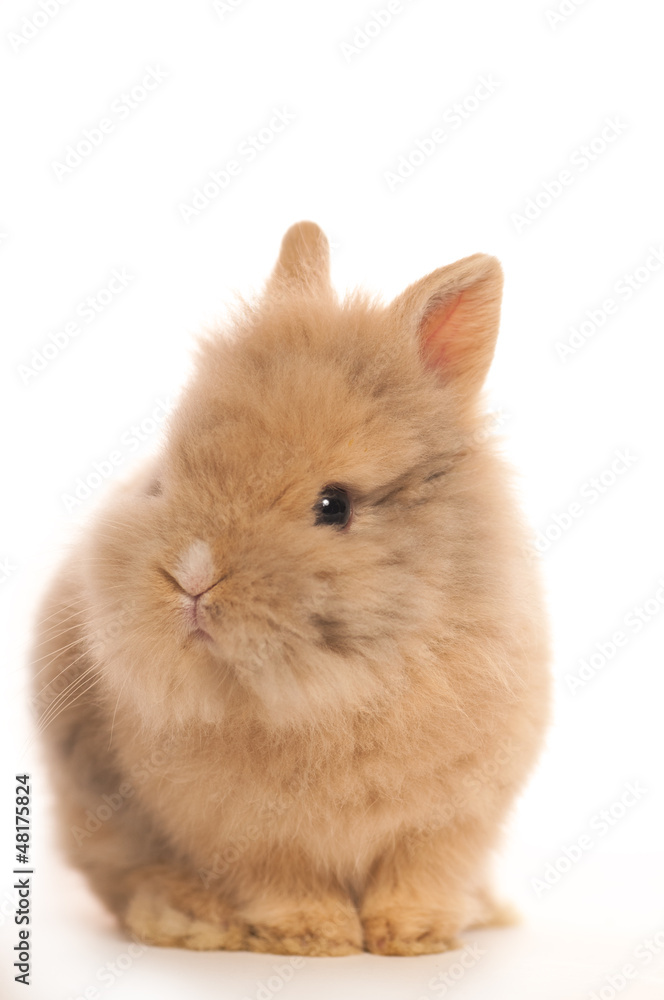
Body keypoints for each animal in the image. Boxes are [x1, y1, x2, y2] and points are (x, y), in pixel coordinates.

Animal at [32, 221, 550, 957]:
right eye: (165, 479)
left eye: (333, 505)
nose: (192, 577)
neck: (338, 688)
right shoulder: (242, 832)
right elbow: (283, 879)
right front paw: (314, 938)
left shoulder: (450, 820)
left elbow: (419, 873)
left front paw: (412, 936)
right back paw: (195, 921)